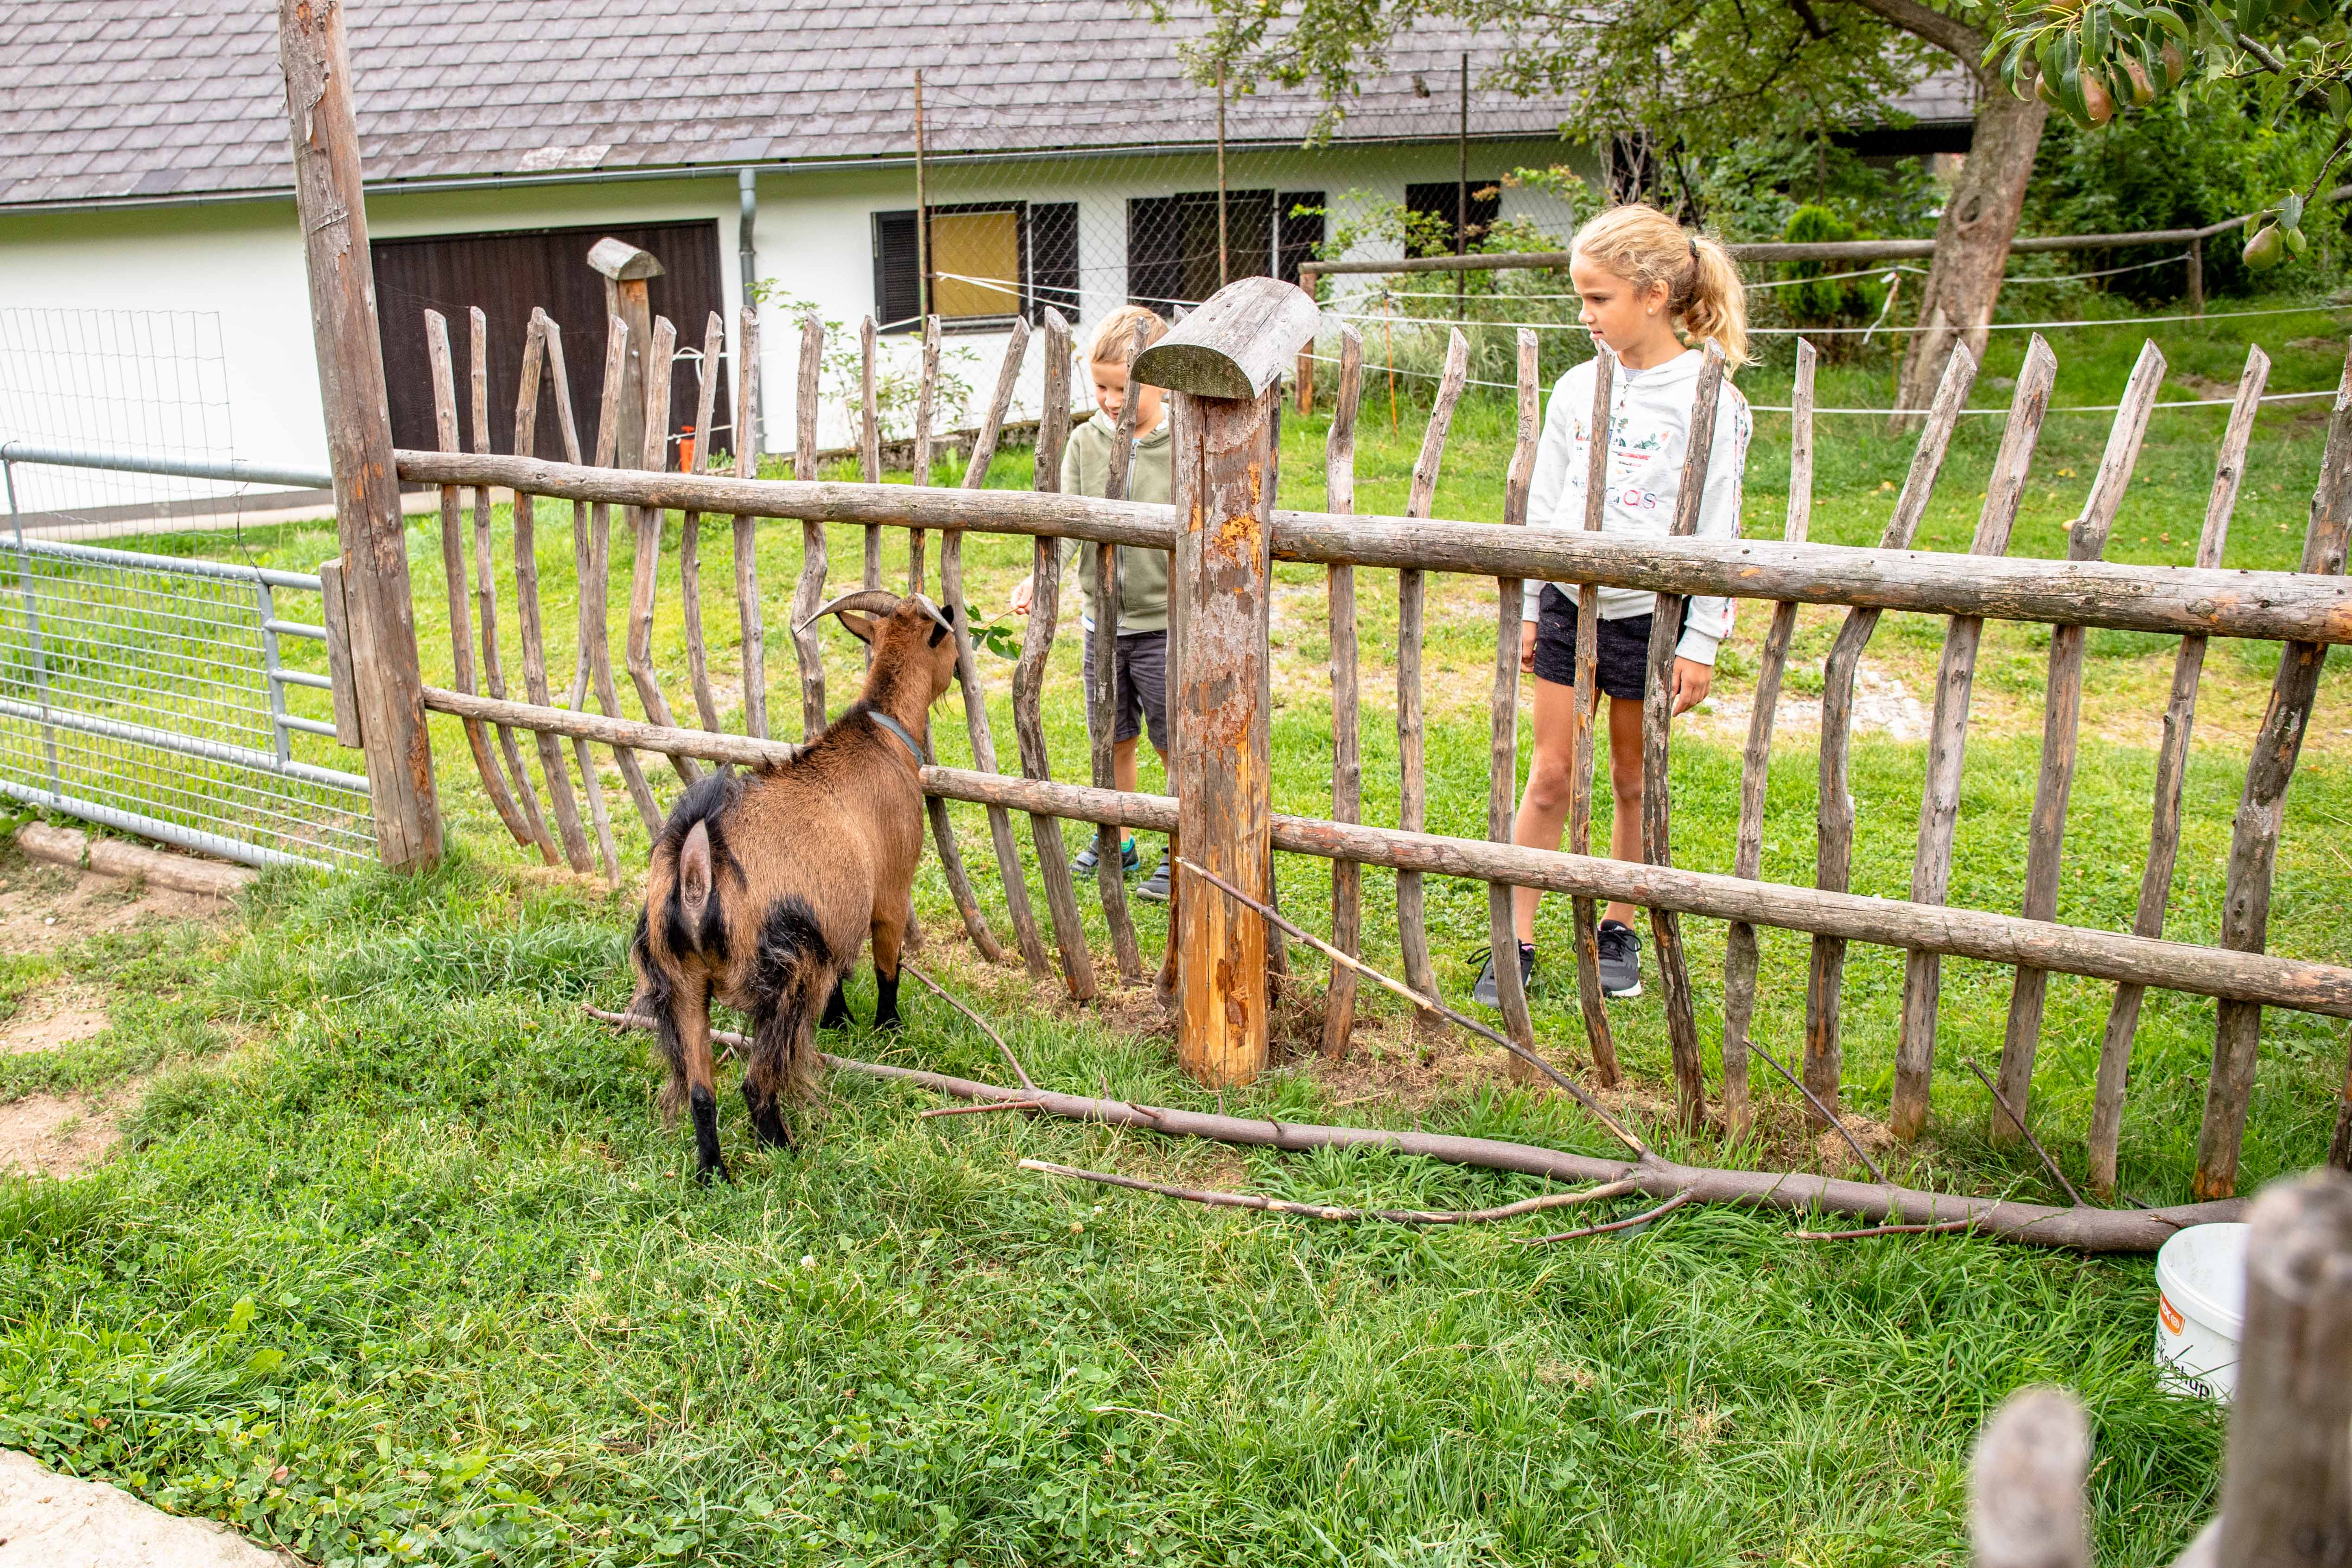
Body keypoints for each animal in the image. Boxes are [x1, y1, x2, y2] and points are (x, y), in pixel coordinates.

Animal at [630, 595, 960, 1185]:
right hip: (781, 971)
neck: (882, 734)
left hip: (679, 979)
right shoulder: (889, 887)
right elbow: (888, 962)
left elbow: (843, 972)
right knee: (755, 1082)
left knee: (700, 1090)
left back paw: (714, 1173)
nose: (962, 666)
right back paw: (783, 1147)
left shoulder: (834, 913)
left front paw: (839, 1020)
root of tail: (696, 869)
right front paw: (888, 1027)